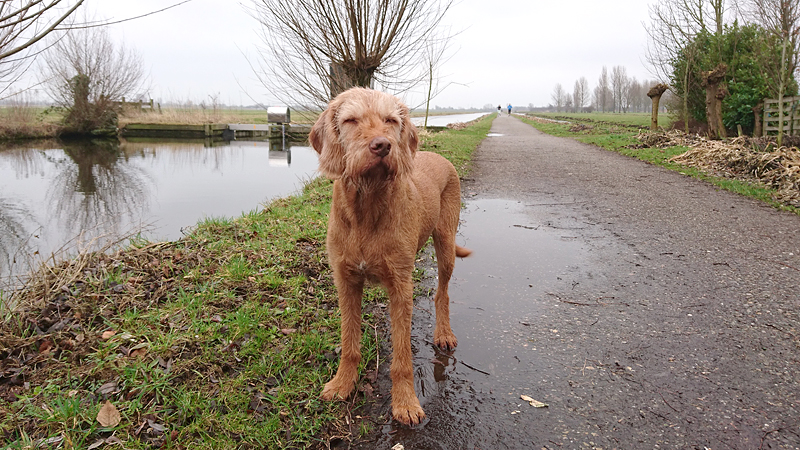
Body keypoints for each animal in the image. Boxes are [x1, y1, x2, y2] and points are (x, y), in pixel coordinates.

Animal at [309, 87, 471, 425]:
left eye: (391, 120)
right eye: (350, 120)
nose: (382, 145)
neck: (367, 207)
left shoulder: (401, 286)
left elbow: (402, 357)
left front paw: (405, 402)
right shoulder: (345, 280)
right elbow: (349, 342)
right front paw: (343, 383)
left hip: (446, 244)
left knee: (442, 292)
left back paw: (443, 333)